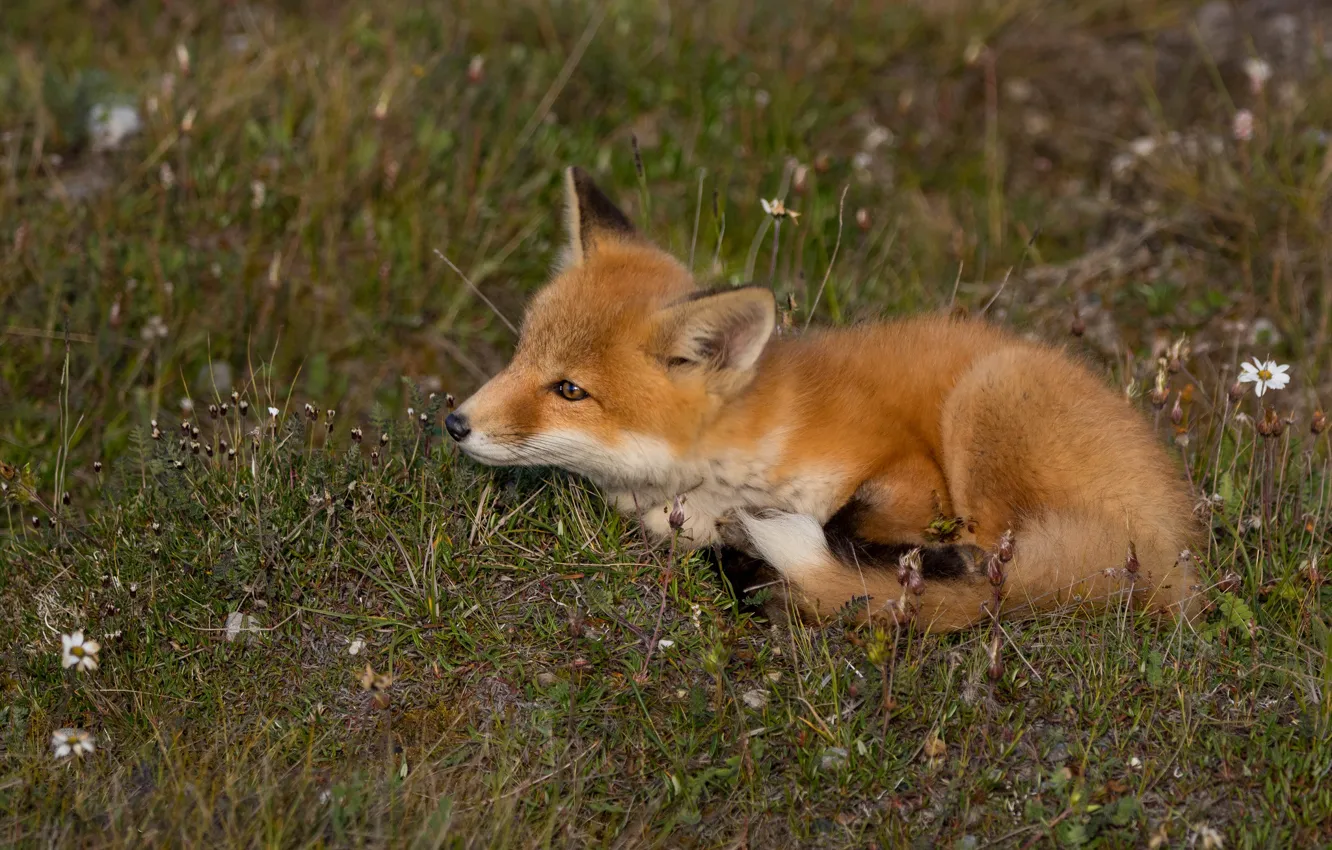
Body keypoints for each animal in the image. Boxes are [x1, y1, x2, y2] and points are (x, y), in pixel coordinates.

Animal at [445, 166, 1206, 632]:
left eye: (569, 389)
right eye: (520, 355)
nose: (454, 422)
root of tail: (1171, 547)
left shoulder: (905, 470)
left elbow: (847, 523)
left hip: (985, 406)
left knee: (994, 565)